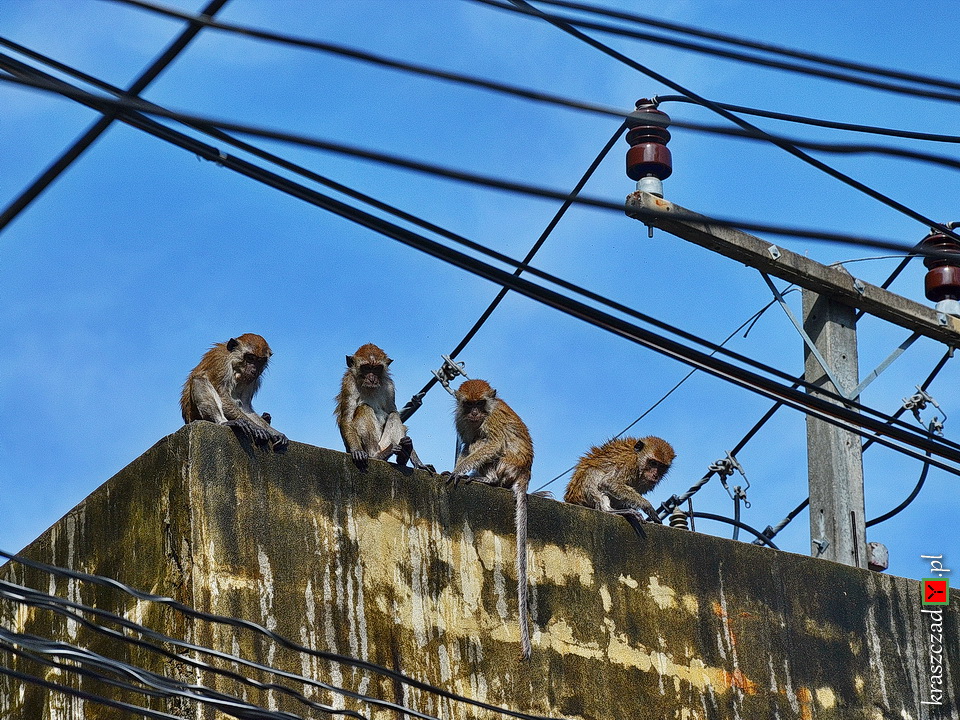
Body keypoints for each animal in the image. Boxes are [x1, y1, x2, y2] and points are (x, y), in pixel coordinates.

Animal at [338, 344, 428, 472]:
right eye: (366, 368)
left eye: (376, 368)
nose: (372, 378)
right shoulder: (349, 383)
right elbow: (347, 418)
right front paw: (357, 451)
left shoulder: (390, 387)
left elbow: (393, 412)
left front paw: (417, 460)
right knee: (364, 408)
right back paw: (377, 455)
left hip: (385, 443)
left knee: (393, 415)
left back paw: (404, 452)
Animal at [448, 380, 536, 660]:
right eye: (469, 405)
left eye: (480, 404)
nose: (475, 413)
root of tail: (524, 473)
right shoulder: (461, 420)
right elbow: (466, 441)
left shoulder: (492, 420)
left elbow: (492, 444)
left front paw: (457, 470)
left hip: (506, 466)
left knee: (483, 444)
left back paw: (486, 479)